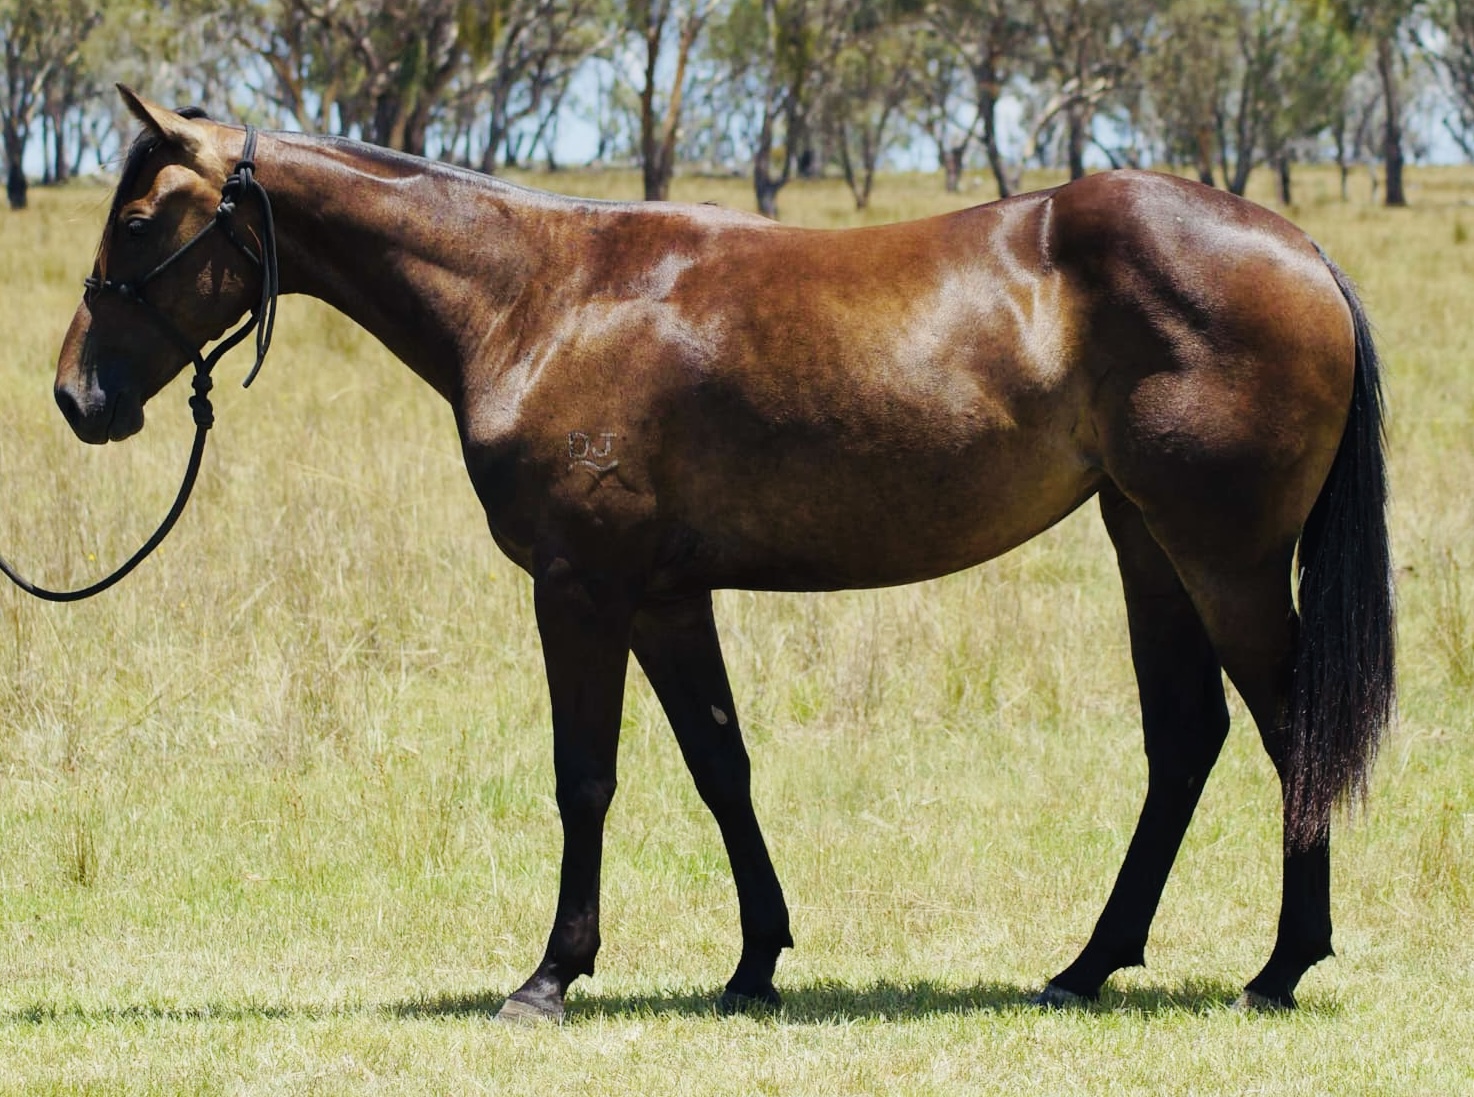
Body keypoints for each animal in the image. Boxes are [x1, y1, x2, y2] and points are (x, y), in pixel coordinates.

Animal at [52, 87, 1394, 1023]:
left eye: (138, 218)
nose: (76, 397)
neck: (540, 298)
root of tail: (1301, 253)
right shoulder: (665, 595)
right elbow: (720, 767)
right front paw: (754, 962)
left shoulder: (581, 590)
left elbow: (584, 777)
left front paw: (549, 975)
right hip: (1144, 542)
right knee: (1187, 741)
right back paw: (1087, 963)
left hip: (1221, 558)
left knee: (1290, 732)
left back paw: (1278, 966)